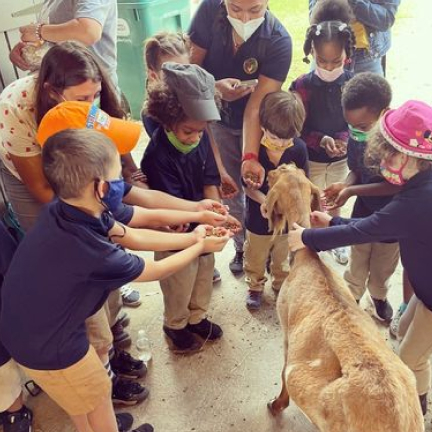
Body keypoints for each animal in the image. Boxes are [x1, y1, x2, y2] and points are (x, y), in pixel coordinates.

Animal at [264, 164, 424, 432]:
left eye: (278, 173)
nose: (267, 173)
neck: (308, 260)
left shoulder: (286, 328)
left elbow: (283, 371)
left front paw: (276, 404)